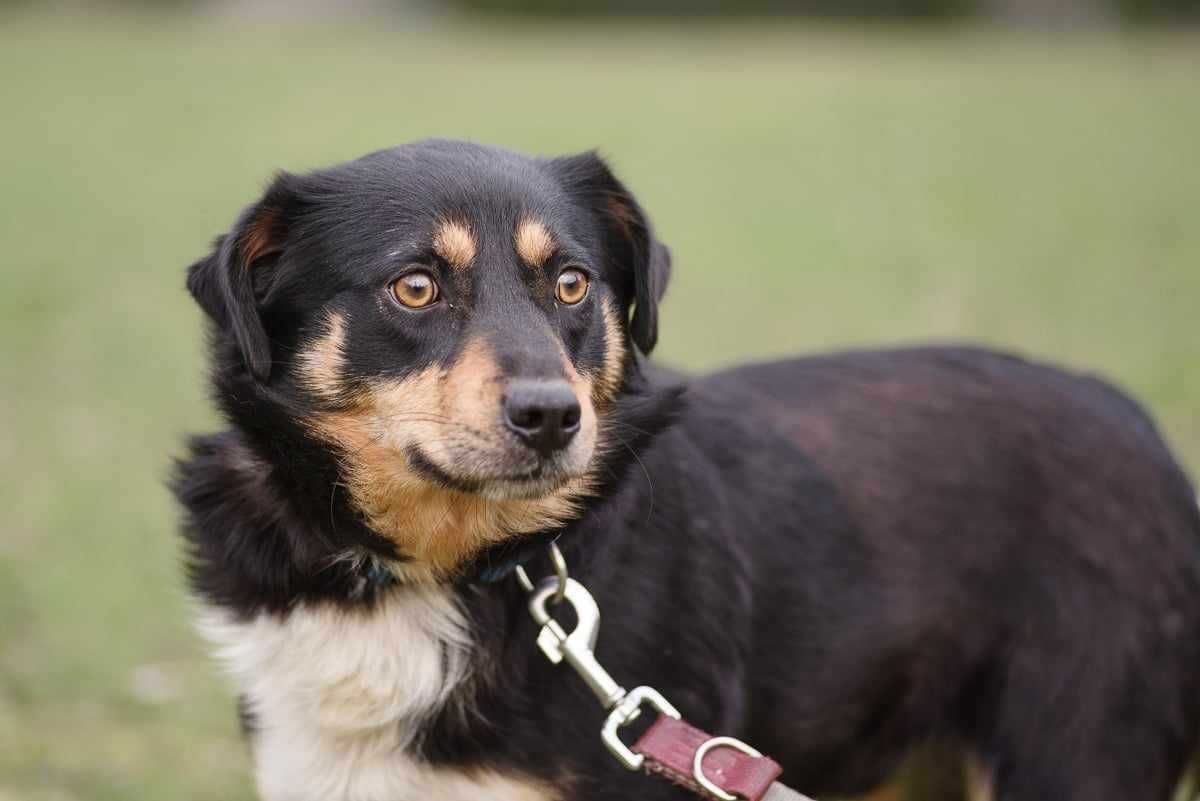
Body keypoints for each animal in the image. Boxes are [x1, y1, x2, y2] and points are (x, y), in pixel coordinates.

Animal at [175, 137, 1200, 801]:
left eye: (572, 283)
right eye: (415, 287)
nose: (552, 418)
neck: (439, 572)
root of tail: (1134, 418)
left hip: (1072, 753)